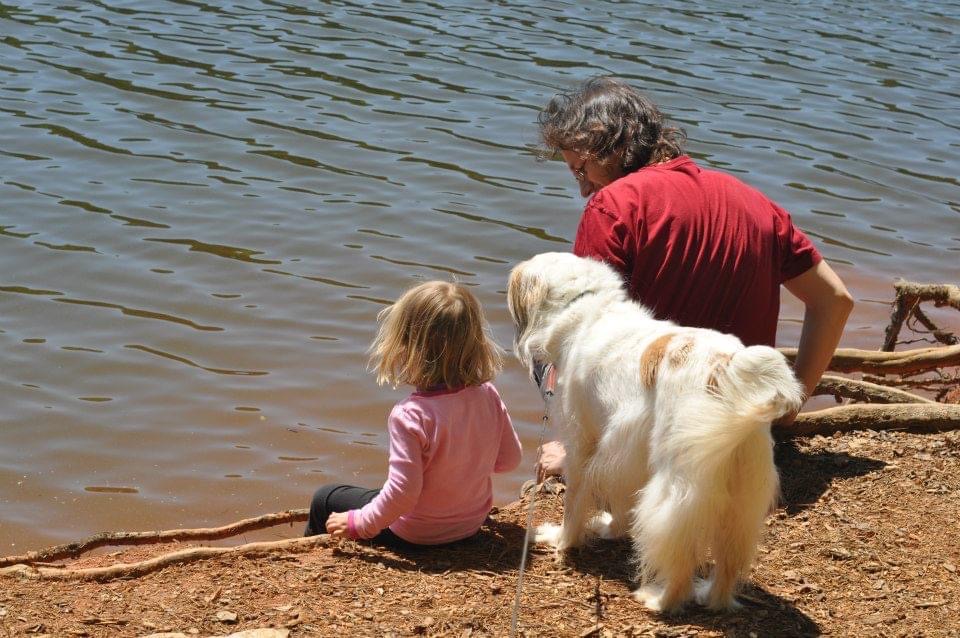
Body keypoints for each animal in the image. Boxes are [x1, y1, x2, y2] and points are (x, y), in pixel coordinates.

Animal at [507, 252, 803, 612]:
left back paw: (660, 600)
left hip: (678, 487)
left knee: (678, 554)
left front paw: (562, 541)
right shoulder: (623, 455)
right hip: (743, 495)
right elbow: (621, 504)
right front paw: (610, 529)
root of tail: (724, 366)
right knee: (728, 563)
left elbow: (574, 505)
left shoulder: (584, 444)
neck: (589, 308)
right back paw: (711, 596)